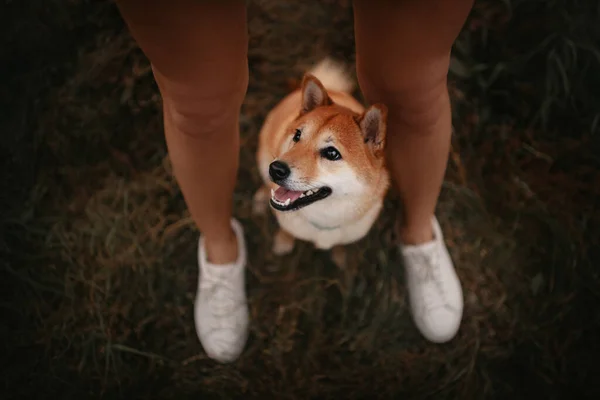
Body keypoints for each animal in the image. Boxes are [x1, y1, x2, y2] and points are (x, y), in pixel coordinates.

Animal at [252, 57, 390, 268]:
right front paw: (283, 242)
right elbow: (287, 230)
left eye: (332, 153)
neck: (324, 221)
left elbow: (340, 245)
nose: (275, 169)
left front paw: (340, 256)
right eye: (297, 135)